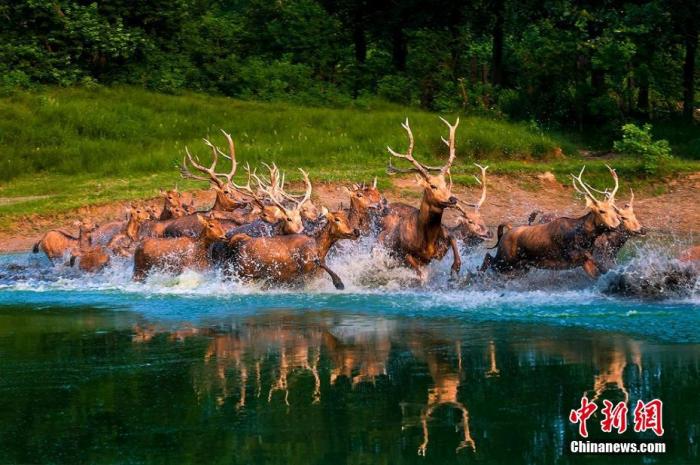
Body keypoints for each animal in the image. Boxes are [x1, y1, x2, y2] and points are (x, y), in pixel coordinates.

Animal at [378, 118, 464, 280]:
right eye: (432, 186)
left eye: (446, 184)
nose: (452, 199)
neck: (427, 242)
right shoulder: (405, 253)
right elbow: (419, 272)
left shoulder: (440, 247)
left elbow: (453, 238)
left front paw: (455, 267)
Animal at [482, 166, 624, 278]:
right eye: (601, 211)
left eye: (613, 209)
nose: (616, 224)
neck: (585, 237)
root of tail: (507, 230)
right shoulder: (573, 255)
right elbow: (602, 266)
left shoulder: (583, 261)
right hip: (505, 259)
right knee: (488, 257)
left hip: (520, 266)